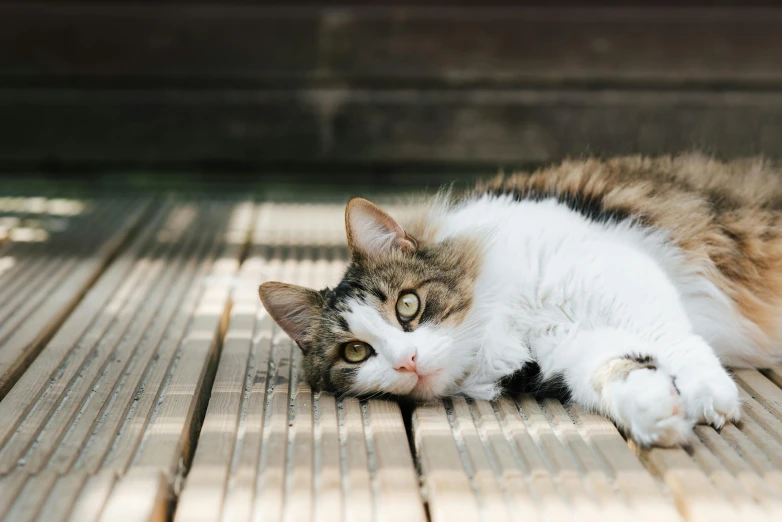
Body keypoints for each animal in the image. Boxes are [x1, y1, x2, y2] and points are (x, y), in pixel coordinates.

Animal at [258, 152, 782, 444]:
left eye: (408, 305)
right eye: (355, 351)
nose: (407, 361)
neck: (505, 322)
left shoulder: (613, 270)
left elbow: (675, 339)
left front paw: (707, 395)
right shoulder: (567, 351)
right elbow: (616, 371)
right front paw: (658, 414)